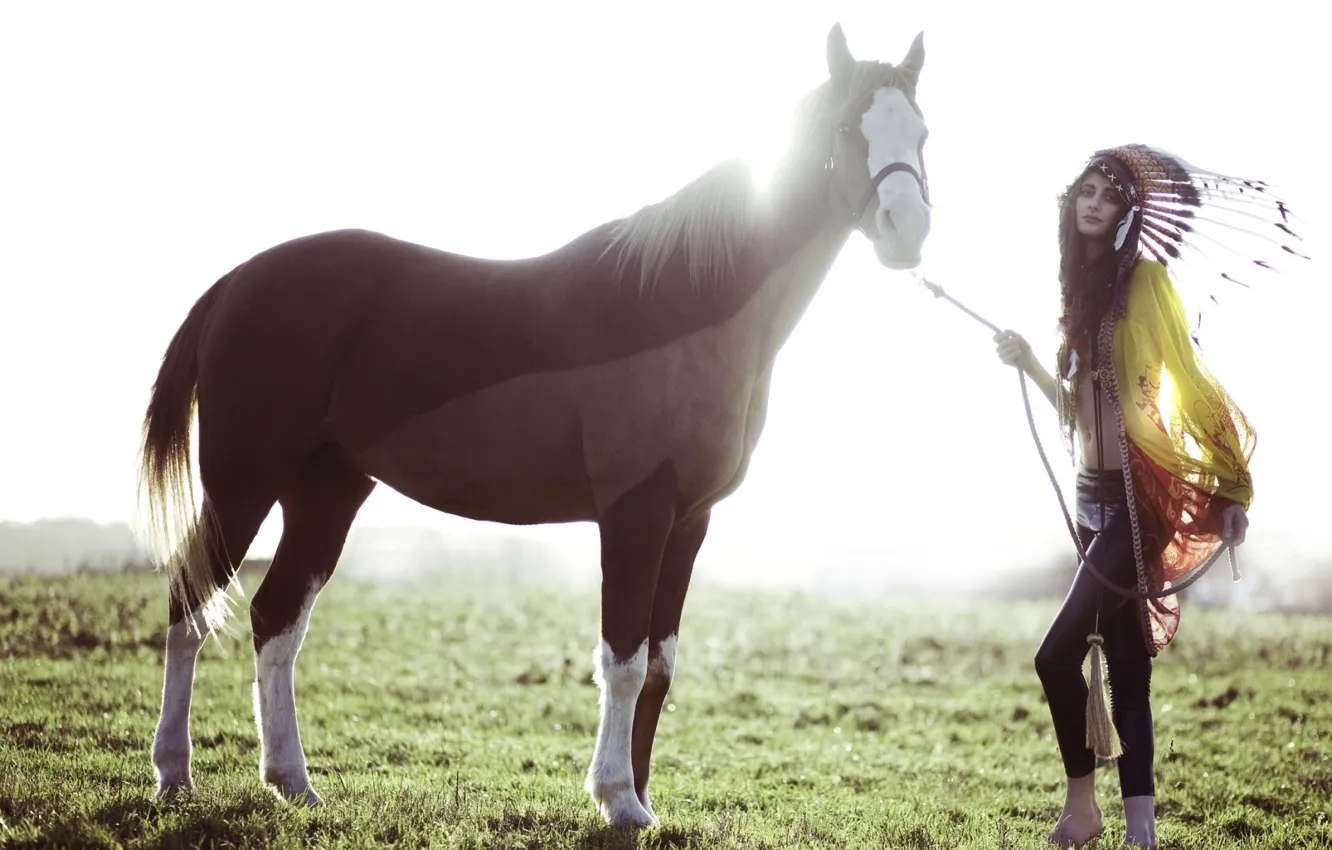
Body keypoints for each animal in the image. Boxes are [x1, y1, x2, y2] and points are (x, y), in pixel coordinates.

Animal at [140, 22, 931, 828]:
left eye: (923, 133)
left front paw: (641, 801)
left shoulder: (689, 522)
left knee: (275, 619)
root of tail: (238, 282)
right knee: (189, 606)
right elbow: (623, 660)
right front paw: (617, 799)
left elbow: (660, 667)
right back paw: (174, 773)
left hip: (326, 490)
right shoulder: (635, 512)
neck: (684, 307)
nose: (906, 231)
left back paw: (292, 781)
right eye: (848, 128)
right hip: (243, 482)